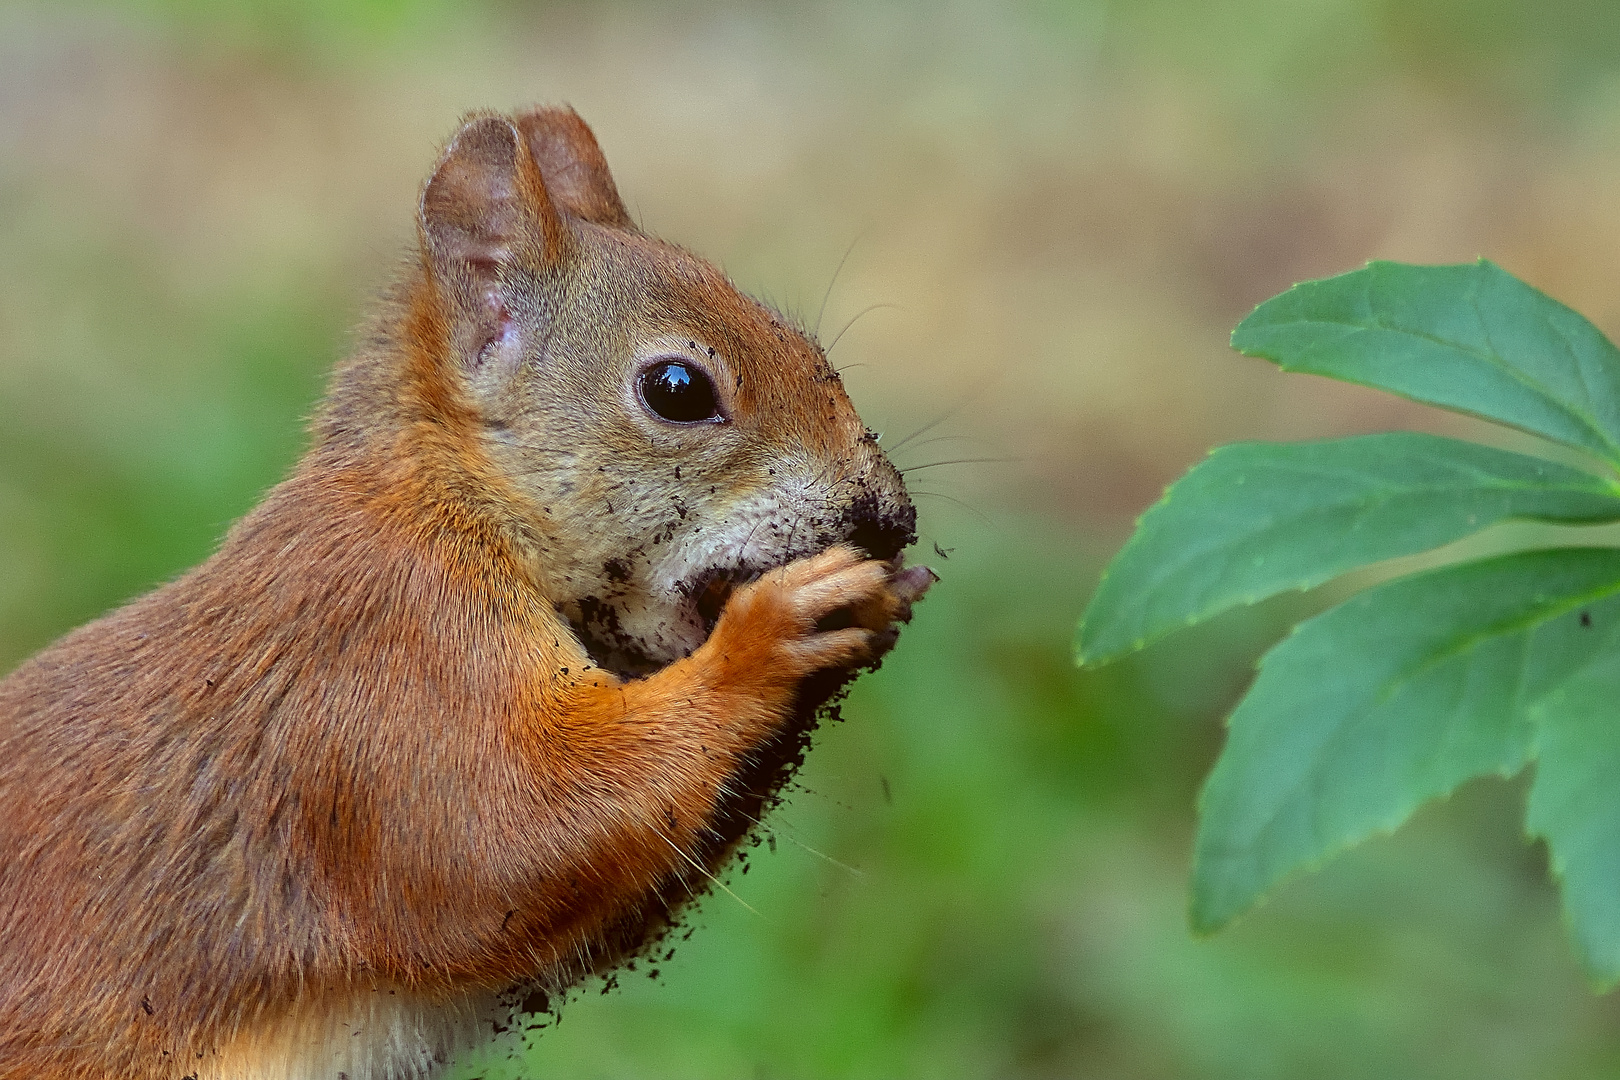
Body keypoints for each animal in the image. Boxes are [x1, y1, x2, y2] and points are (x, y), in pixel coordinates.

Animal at [0, 103, 933, 1080]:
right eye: (677, 389)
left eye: (809, 347)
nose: (887, 516)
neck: (456, 501)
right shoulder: (389, 658)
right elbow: (500, 841)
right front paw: (771, 632)